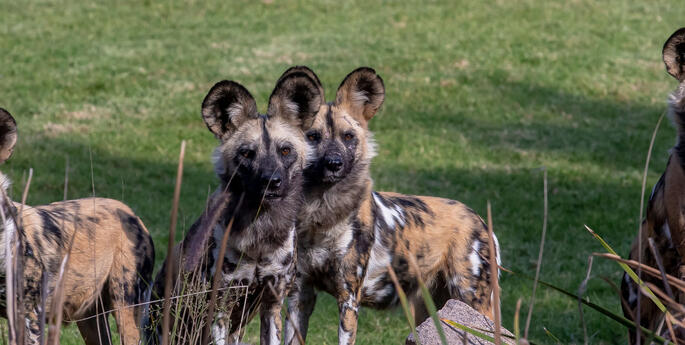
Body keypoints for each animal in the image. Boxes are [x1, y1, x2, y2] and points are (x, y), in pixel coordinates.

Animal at [144, 71, 320, 342]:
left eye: (285, 150)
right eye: (247, 153)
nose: (271, 181)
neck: (260, 234)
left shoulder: (272, 304)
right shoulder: (220, 309)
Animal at [280, 67, 500, 344]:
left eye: (348, 137)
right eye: (312, 137)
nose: (334, 163)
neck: (321, 216)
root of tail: (478, 218)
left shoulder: (349, 299)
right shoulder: (300, 296)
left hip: (472, 301)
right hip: (432, 311)